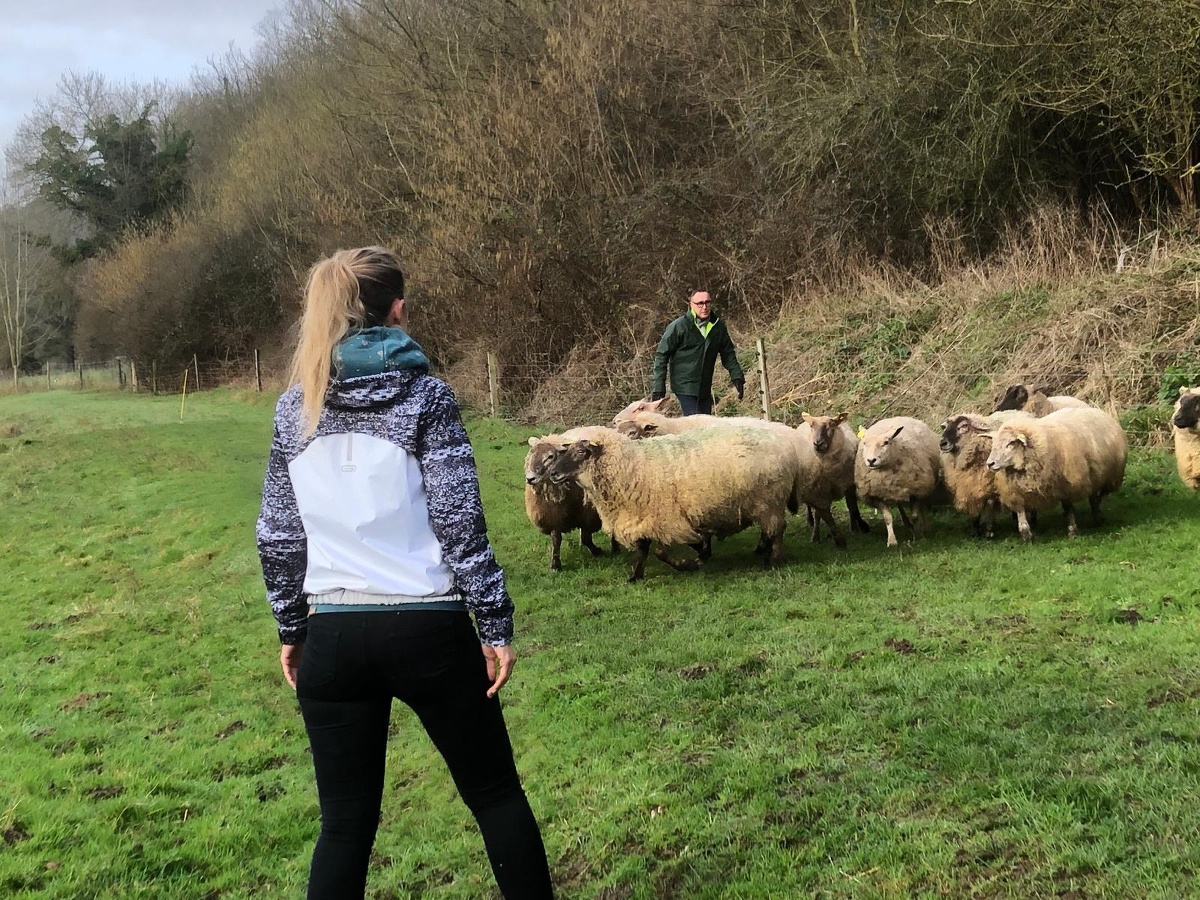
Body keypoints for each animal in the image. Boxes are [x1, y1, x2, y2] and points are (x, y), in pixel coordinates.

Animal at [524, 431, 616, 570]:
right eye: (531, 453)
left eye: (550, 456)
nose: (530, 478)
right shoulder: (553, 517)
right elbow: (556, 540)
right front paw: (555, 564)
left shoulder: (587, 515)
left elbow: (586, 538)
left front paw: (596, 551)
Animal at [543, 424, 801, 581]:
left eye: (580, 453)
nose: (553, 473)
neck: (631, 467)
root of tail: (786, 444)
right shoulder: (643, 517)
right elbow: (643, 550)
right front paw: (636, 576)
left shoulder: (666, 518)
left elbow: (659, 551)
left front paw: (688, 564)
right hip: (764, 504)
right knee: (770, 531)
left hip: (770, 501)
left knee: (777, 531)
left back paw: (772, 561)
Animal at [854, 417, 942, 548]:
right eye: (865, 443)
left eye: (886, 442)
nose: (871, 460)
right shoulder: (876, 495)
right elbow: (888, 518)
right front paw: (892, 541)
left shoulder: (916, 491)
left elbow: (915, 516)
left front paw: (918, 534)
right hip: (896, 489)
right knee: (899, 504)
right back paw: (907, 523)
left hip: (923, 487)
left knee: (921, 507)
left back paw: (924, 527)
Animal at [938, 410, 1029, 538]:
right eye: (945, 427)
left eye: (963, 426)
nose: (942, 443)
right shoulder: (969, 483)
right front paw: (975, 530)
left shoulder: (991, 484)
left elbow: (990, 504)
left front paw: (989, 530)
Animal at [984, 406, 1127, 541]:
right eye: (993, 444)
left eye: (1010, 444)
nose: (989, 464)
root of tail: (1097, 410)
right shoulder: (1014, 490)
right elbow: (1020, 509)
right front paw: (1026, 533)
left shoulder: (1067, 486)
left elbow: (1068, 508)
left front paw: (1072, 531)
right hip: (1095, 475)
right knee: (1093, 495)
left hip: (1112, 475)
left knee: (1103, 494)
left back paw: (1098, 513)